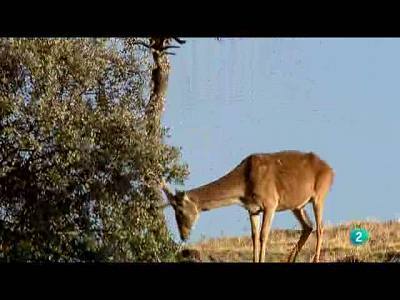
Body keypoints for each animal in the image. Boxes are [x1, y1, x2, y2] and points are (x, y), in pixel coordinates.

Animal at [159, 150, 334, 262]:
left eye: (180, 211)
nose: (183, 235)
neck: (245, 185)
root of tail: (331, 171)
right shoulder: (253, 209)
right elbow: (254, 236)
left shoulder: (270, 203)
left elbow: (263, 235)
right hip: (297, 205)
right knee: (308, 226)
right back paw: (289, 260)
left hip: (319, 195)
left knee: (320, 227)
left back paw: (315, 260)